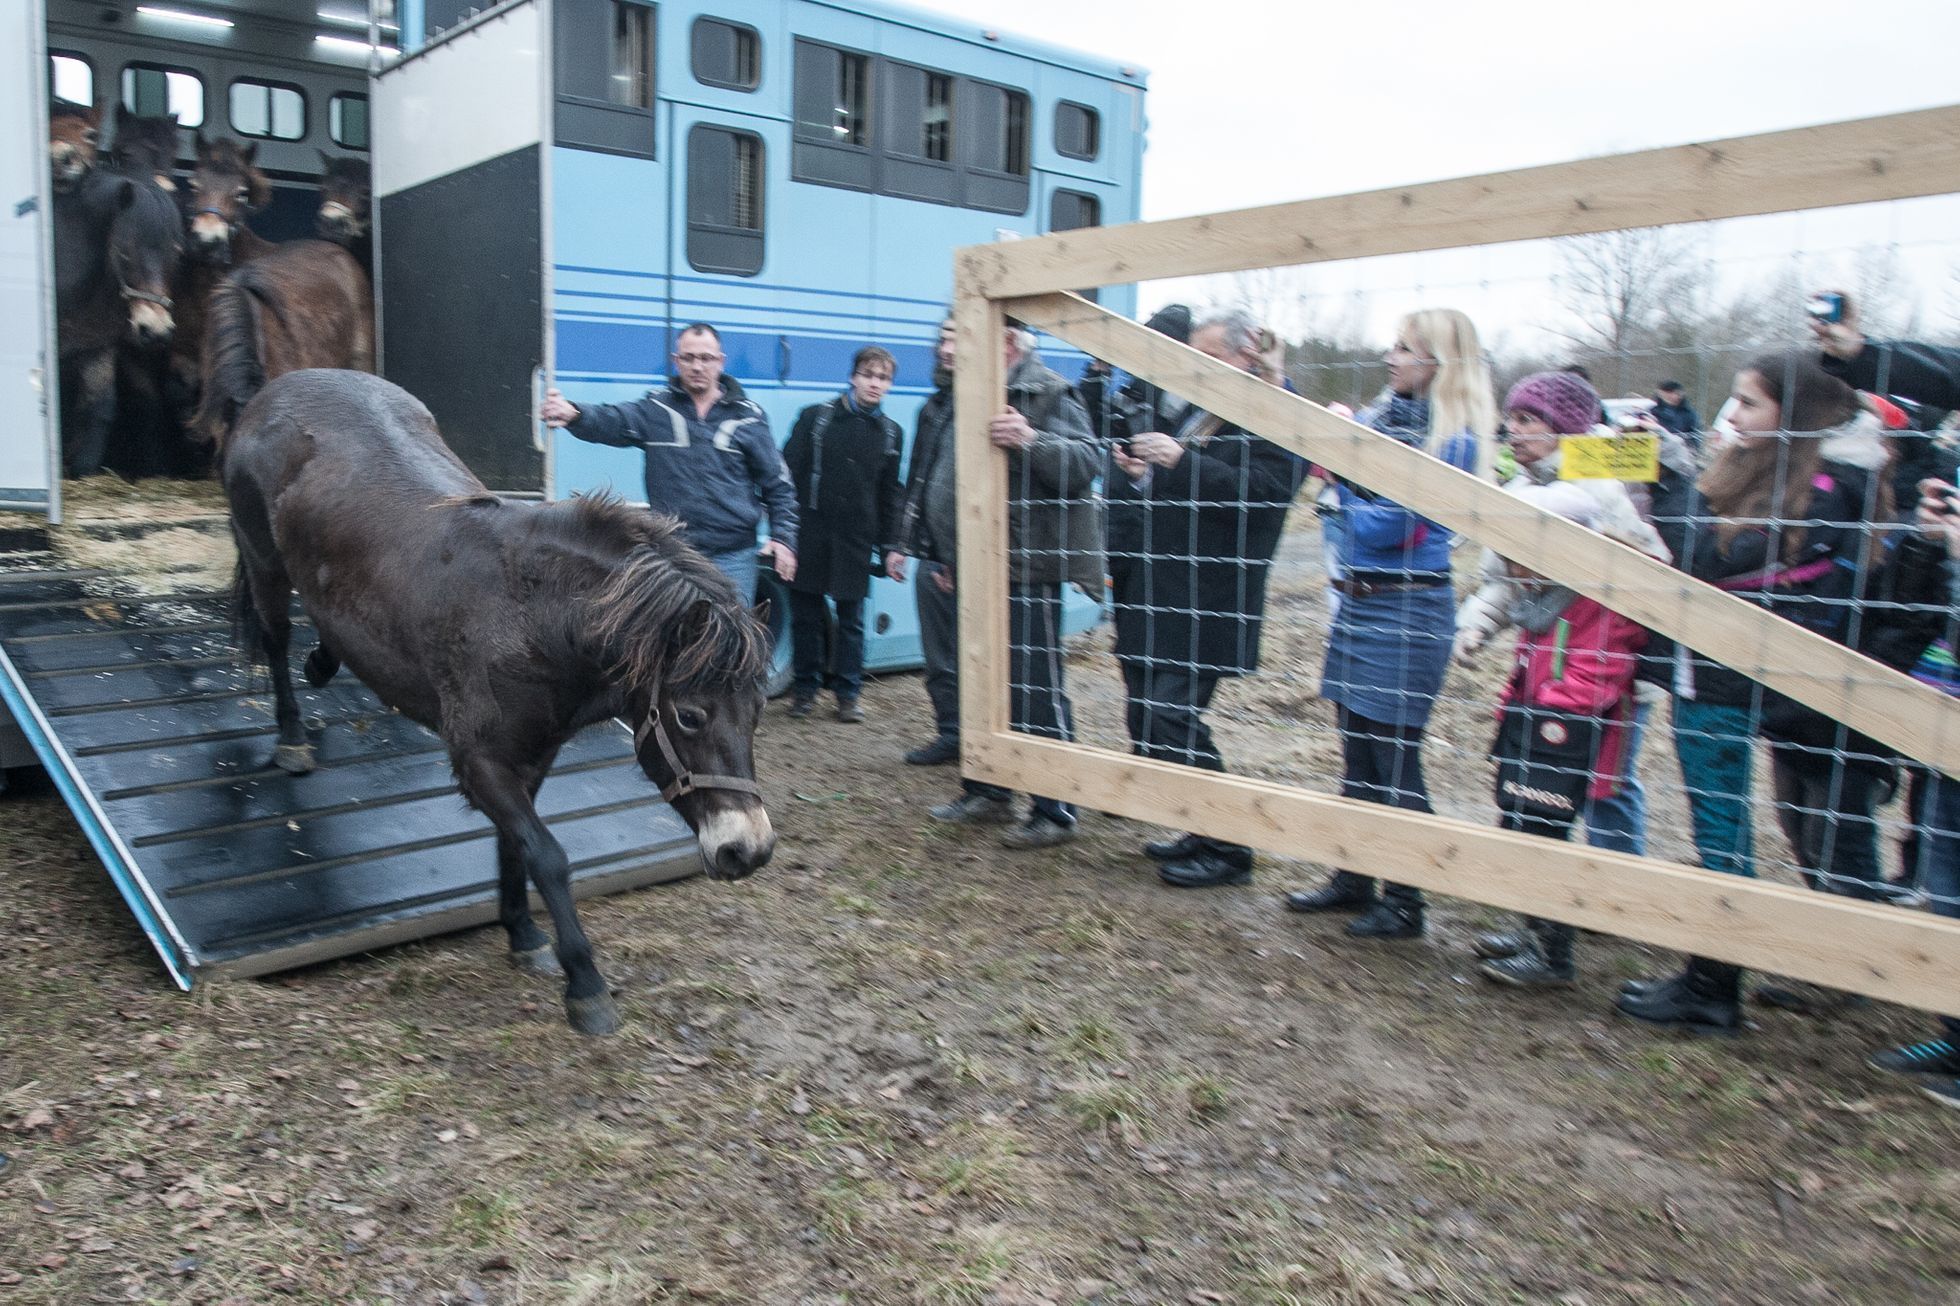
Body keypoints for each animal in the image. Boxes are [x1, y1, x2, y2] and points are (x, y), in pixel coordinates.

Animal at [225, 366, 776, 1027]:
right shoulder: (481, 762)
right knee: (276, 638)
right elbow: (547, 855)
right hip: (264, 564)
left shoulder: (531, 759)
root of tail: (273, 393)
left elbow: (517, 847)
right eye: (690, 716)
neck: (528, 614)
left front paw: (522, 934)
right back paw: (291, 737)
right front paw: (584, 983)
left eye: (757, 712)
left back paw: (322, 663)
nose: (749, 850)